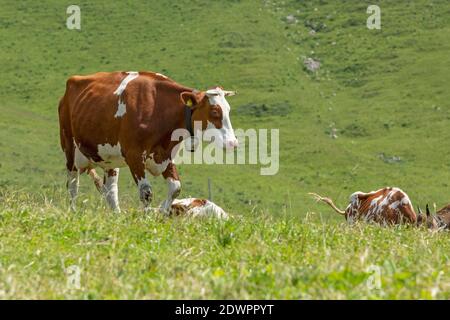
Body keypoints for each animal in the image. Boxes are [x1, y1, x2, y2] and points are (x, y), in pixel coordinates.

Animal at [59, 71, 239, 214]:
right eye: (214, 111)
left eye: (229, 110)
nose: (233, 143)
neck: (158, 109)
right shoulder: (135, 156)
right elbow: (146, 193)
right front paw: (146, 219)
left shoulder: (165, 156)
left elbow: (175, 188)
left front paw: (163, 214)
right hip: (70, 149)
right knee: (73, 185)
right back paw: (73, 212)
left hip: (110, 160)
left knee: (111, 190)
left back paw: (116, 215)